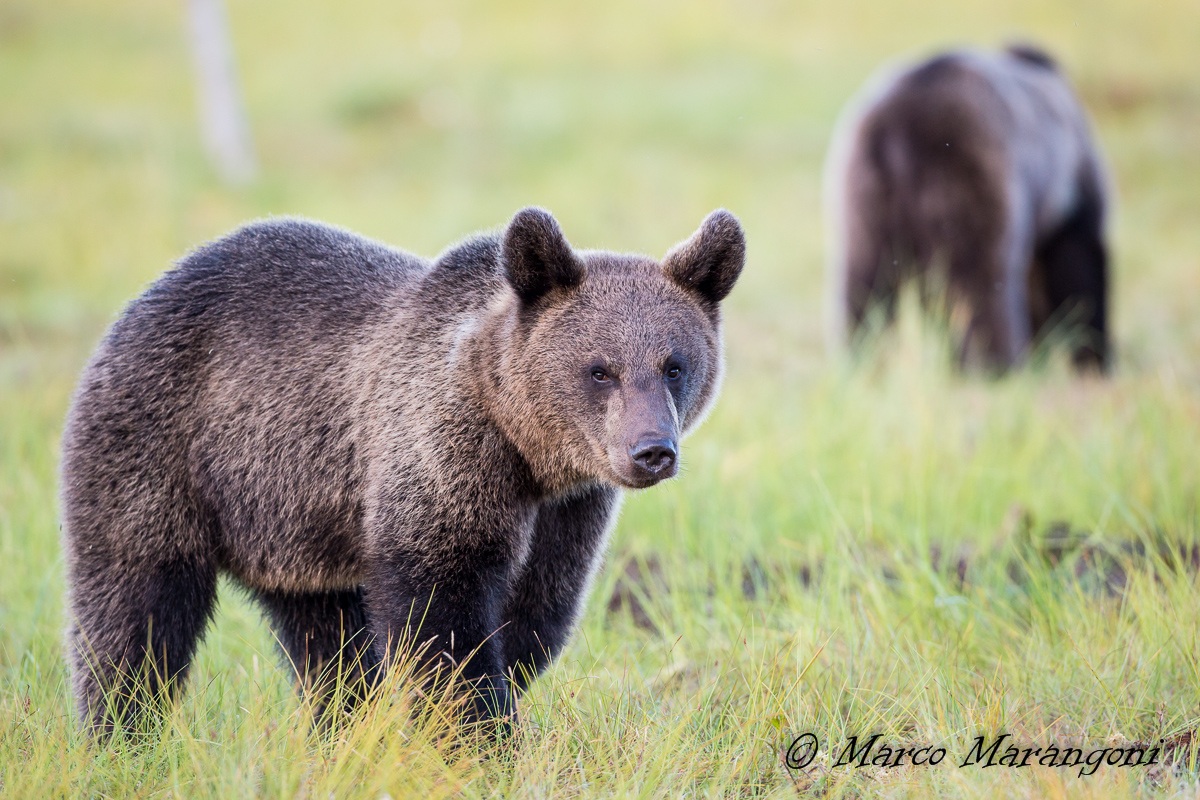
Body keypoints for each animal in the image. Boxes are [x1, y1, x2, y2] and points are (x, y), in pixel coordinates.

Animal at [60, 206, 745, 734]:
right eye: (600, 369)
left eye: (674, 365)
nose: (652, 450)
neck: (525, 450)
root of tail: (138, 303)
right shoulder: (440, 459)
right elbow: (441, 620)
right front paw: (478, 737)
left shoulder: (568, 511)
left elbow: (535, 615)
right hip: (160, 453)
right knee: (134, 609)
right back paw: (123, 732)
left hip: (295, 521)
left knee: (323, 636)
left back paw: (341, 726)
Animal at [823, 44, 1110, 372]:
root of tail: (898, 127)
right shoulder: (1073, 193)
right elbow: (1080, 270)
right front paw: (1092, 356)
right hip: (968, 179)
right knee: (982, 284)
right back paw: (998, 365)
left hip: (866, 197)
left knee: (865, 282)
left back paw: (858, 357)